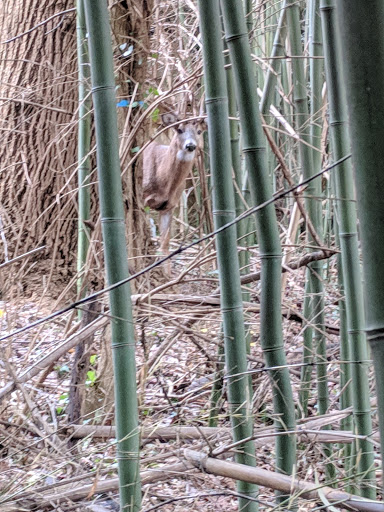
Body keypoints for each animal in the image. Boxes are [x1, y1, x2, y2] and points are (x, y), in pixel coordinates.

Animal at [142, 113, 207, 270]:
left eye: (199, 131)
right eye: (179, 130)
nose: (190, 145)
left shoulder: (169, 205)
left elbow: (164, 246)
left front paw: (167, 274)